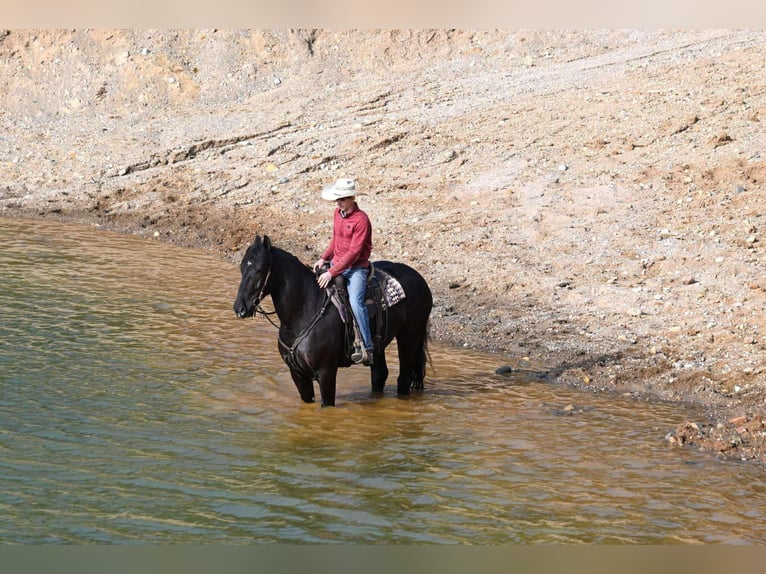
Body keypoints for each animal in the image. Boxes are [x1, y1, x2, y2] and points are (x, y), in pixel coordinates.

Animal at [233, 235, 433, 407]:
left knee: (404, 377)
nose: (239, 308)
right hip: (379, 344)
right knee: (379, 375)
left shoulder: (326, 373)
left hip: (409, 337)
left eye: (259, 269)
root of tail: (419, 278)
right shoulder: (297, 374)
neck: (304, 312)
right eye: (242, 267)